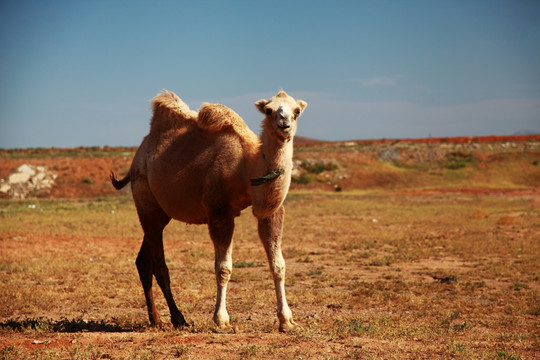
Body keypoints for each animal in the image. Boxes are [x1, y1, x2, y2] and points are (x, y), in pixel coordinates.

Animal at [109, 90, 308, 332]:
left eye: (296, 111)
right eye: (269, 110)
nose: (284, 123)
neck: (246, 167)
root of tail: (138, 156)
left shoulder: (270, 212)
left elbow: (278, 265)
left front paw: (287, 320)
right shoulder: (219, 211)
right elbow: (223, 268)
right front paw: (221, 320)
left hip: (160, 213)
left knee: (143, 260)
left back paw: (156, 318)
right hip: (145, 199)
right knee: (159, 264)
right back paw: (178, 318)